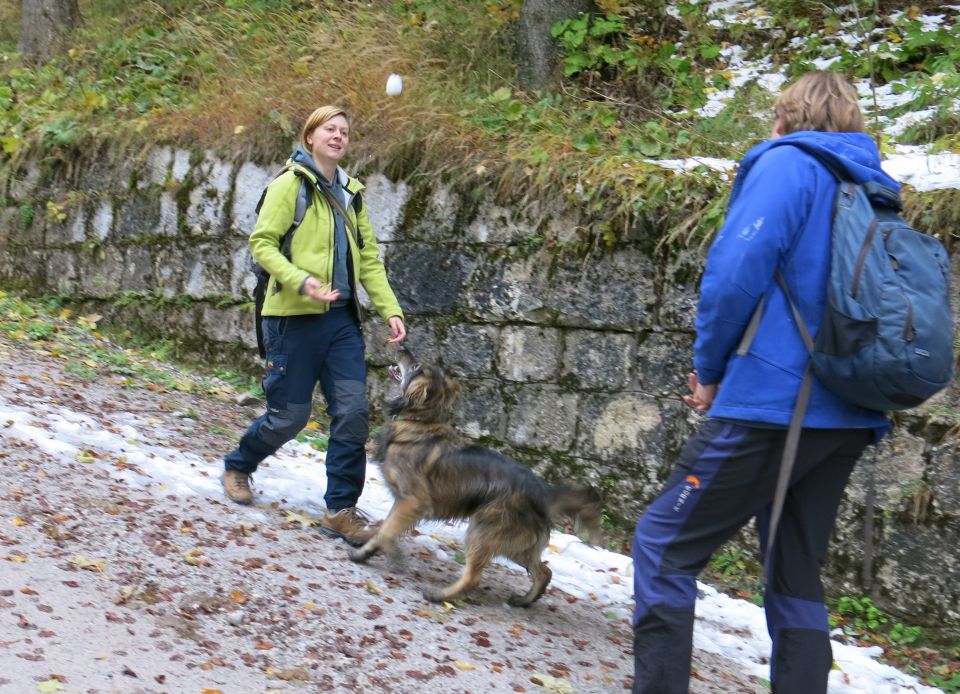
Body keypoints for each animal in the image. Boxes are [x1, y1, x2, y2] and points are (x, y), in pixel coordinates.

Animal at [344, 346, 600, 608]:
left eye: (416, 366)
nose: (402, 346)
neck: (420, 421)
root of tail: (542, 490)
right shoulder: (402, 503)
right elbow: (383, 530)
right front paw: (365, 552)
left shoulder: (413, 501)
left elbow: (386, 532)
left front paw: (391, 554)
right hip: (516, 544)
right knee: (544, 572)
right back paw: (524, 600)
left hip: (482, 531)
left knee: (474, 577)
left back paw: (440, 595)